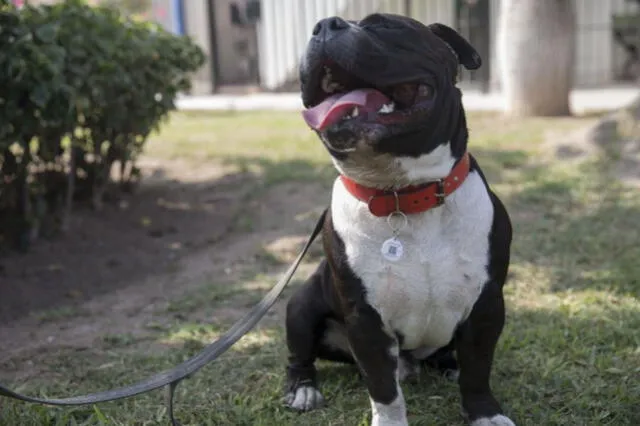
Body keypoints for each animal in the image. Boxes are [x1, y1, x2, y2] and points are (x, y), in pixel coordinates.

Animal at [284, 14, 516, 426]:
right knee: (300, 355)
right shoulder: (365, 321)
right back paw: (303, 389)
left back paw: (448, 364)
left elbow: (478, 370)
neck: (401, 195)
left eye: (388, 27)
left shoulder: (486, 305)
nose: (324, 24)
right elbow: (383, 387)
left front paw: (485, 414)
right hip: (300, 305)